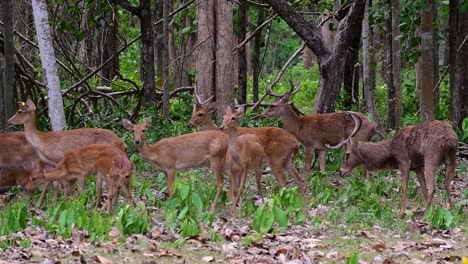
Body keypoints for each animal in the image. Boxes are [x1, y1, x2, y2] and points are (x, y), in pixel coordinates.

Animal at [330, 120, 458, 218]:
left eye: (347, 154)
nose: (341, 171)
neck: (392, 152)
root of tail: (449, 139)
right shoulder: (417, 167)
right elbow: (423, 189)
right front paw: (431, 210)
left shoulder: (404, 162)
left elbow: (405, 187)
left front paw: (401, 213)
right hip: (451, 158)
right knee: (447, 184)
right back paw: (451, 211)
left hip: (430, 157)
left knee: (433, 187)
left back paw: (425, 216)